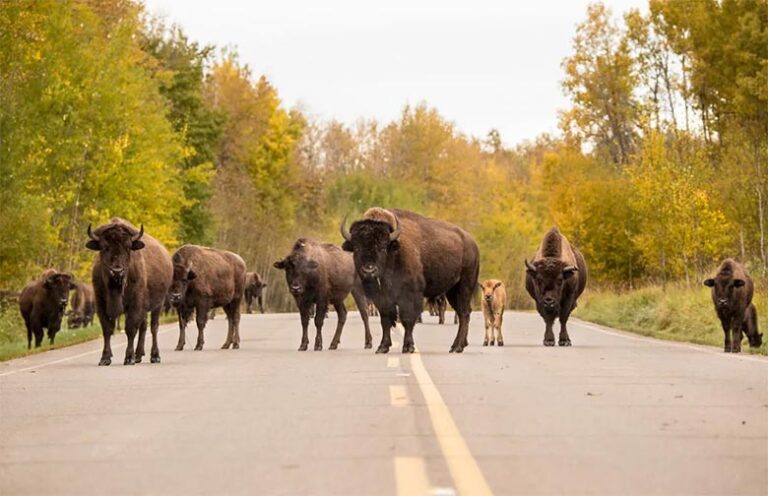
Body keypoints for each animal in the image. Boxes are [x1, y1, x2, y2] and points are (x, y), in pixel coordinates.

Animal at [87, 218, 172, 364]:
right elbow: (107, 329)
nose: (117, 271)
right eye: (104, 247)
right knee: (144, 327)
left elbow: (130, 329)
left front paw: (128, 358)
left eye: (128, 247)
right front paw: (105, 358)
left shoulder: (135, 305)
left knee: (154, 327)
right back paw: (138, 355)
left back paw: (154, 356)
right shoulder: (101, 304)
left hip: (158, 305)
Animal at [342, 207, 480, 354]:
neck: (394, 252)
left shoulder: (409, 295)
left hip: (464, 287)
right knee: (462, 312)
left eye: (383, 247)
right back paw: (459, 345)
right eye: (356, 248)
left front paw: (408, 347)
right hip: (451, 291)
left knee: (464, 313)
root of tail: (472, 244)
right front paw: (382, 347)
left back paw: (457, 347)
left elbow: (407, 319)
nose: (369, 270)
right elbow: (385, 320)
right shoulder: (381, 298)